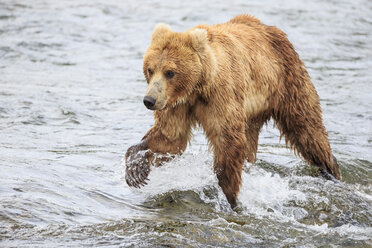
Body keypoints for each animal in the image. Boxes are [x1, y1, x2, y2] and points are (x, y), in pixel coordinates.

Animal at [125, 15, 340, 209]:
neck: (197, 87)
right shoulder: (177, 105)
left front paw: (229, 195)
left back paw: (330, 170)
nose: (149, 100)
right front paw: (136, 169)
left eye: (170, 72)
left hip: (288, 81)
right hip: (252, 114)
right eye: (150, 69)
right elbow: (171, 137)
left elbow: (227, 140)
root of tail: (272, 29)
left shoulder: (221, 96)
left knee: (307, 129)